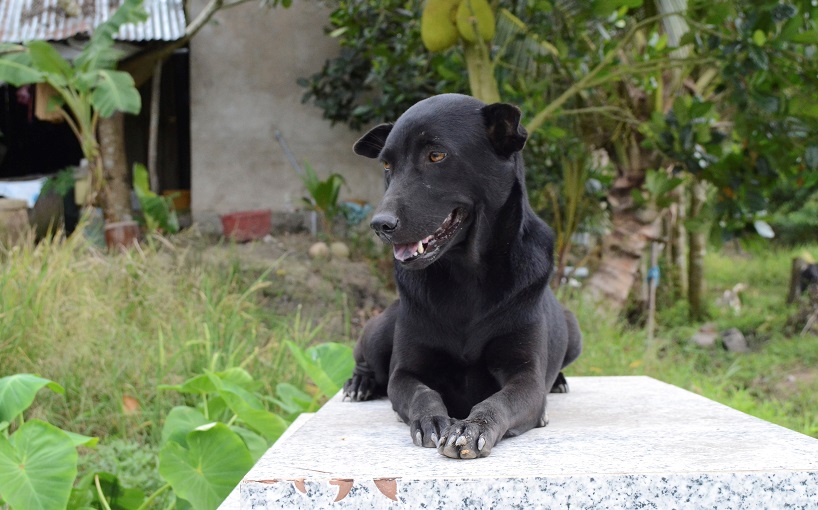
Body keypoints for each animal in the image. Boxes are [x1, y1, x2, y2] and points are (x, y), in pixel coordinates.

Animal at [342, 93, 580, 460]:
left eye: (436, 155)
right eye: (386, 166)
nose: (380, 225)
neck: (465, 275)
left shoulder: (526, 378)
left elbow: (498, 401)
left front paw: (472, 428)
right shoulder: (405, 373)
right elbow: (422, 393)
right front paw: (431, 419)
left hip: (574, 331)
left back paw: (559, 381)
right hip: (382, 329)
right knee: (366, 360)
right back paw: (360, 383)